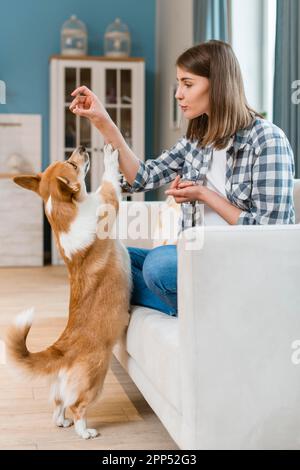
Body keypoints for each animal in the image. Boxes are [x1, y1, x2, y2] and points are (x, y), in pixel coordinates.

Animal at [6, 145, 131, 438]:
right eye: (72, 164)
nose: (83, 147)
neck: (65, 211)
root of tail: (62, 350)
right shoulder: (108, 200)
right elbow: (108, 182)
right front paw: (111, 157)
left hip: (63, 388)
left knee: (58, 403)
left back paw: (62, 422)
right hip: (96, 379)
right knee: (77, 406)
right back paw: (85, 432)